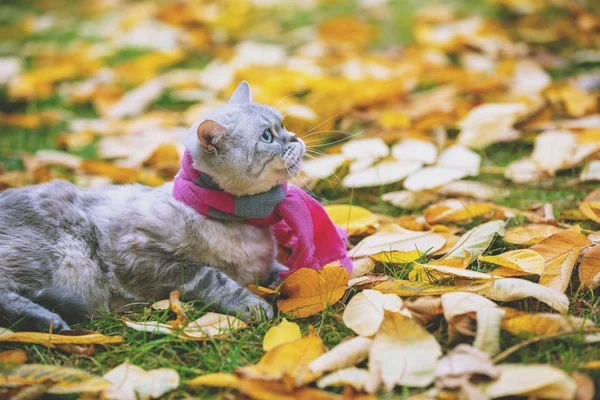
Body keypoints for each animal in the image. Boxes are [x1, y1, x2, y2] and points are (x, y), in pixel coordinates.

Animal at [0, 81, 302, 332]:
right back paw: (51, 321)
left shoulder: (267, 266)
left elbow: (288, 272)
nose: (296, 137)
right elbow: (212, 277)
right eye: (267, 136)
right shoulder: (144, 257)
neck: (246, 226)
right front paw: (254, 305)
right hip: (59, 257)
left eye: (284, 125)